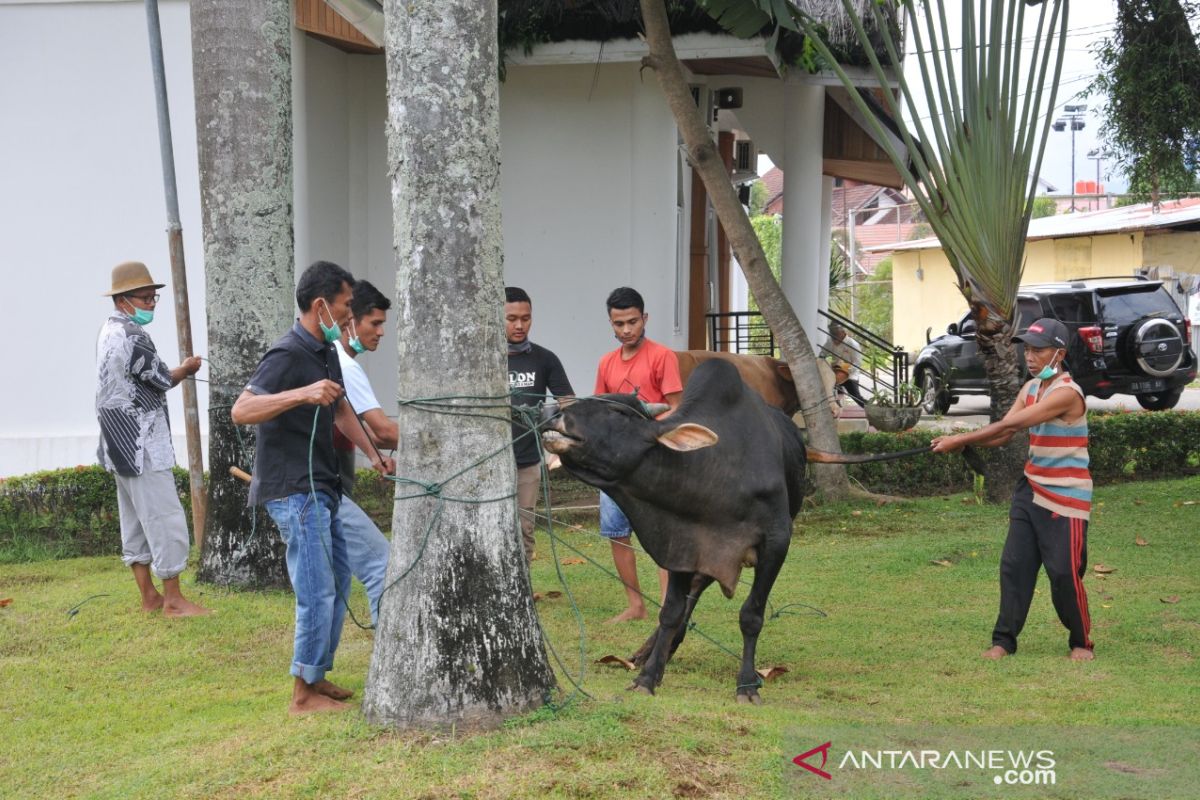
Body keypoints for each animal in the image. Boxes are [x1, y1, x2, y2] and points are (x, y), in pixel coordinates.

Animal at [544, 359, 926, 705]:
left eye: (617, 414)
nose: (556, 416)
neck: (712, 471)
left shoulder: (776, 544)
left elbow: (751, 615)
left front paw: (746, 685)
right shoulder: (682, 543)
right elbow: (670, 612)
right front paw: (648, 676)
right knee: (692, 594)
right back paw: (652, 651)